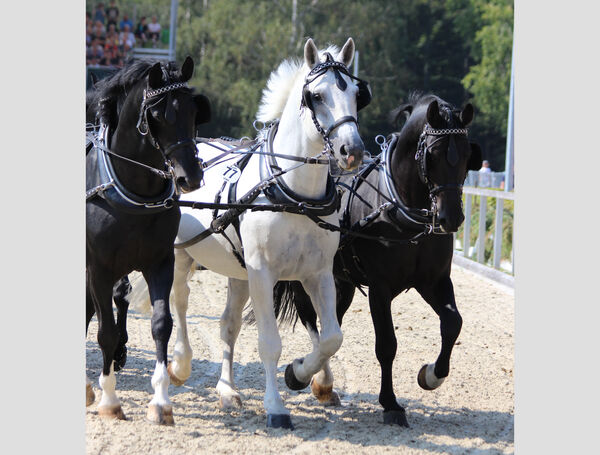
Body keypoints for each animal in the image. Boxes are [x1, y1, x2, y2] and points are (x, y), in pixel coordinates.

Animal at [85, 56, 210, 424]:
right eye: (157, 116)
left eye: (194, 112)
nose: (190, 177)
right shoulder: (98, 268)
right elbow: (106, 332)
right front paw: (110, 400)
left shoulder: (160, 262)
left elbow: (161, 324)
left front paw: (161, 401)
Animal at [131, 37, 366, 430]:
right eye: (316, 96)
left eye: (356, 94)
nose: (353, 150)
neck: (294, 193)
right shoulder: (264, 273)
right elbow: (270, 342)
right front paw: (276, 407)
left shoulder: (317, 273)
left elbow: (332, 336)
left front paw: (300, 374)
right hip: (181, 255)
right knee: (180, 302)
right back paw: (180, 365)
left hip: (238, 272)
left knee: (228, 325)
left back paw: (227, 391)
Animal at [272, 92, 482, 428]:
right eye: (432, 155)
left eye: (466, 156)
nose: (451, 218)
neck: (400, 208)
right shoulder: (380, 289)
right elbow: (387, 345)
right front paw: (391, 403)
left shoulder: (434, 281)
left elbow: (453, 323)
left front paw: (431, 375)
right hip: (307, 273)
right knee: (310, 319)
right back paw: (307, 375)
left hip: (341, 282)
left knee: (332, 321)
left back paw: (322, 384)